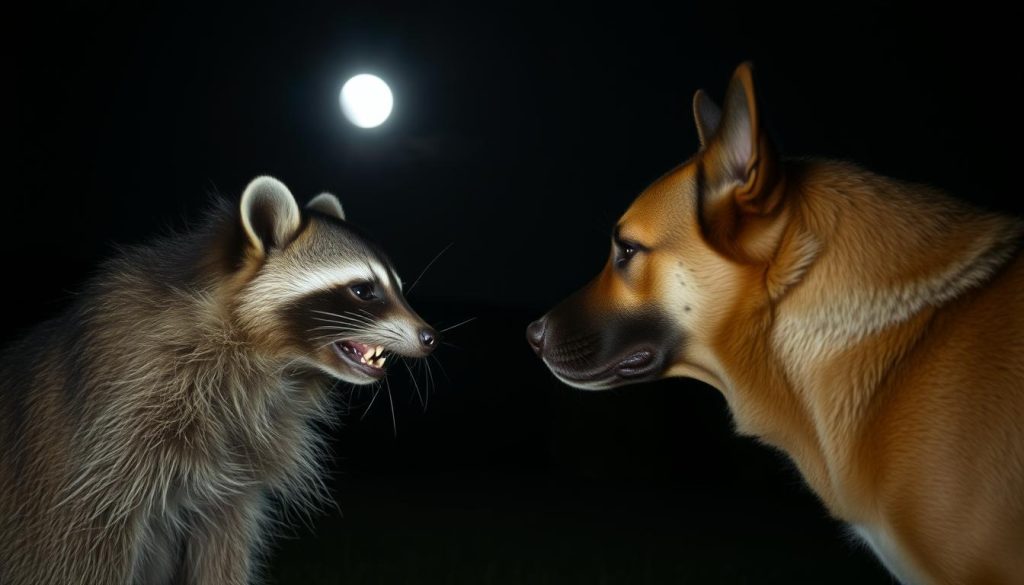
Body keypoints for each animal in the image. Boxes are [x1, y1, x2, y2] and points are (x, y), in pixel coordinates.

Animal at [0, 176, 437, 585]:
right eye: (363, 290)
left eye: (398, 288)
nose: (431, 337)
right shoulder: (112, 432)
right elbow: (83, 551)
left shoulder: (238, 470)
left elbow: (224, 547)